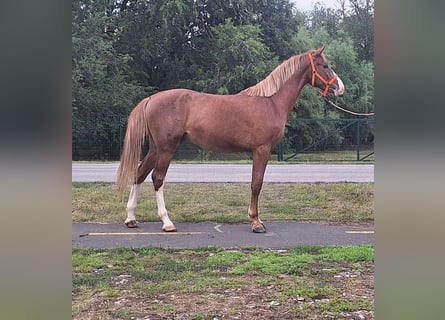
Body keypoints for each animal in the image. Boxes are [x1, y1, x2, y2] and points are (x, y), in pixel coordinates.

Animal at [117, 47, 344, 232]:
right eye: (325, 65)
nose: (340, 88)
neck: (271, 102)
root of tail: (151, 99)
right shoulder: (261, 150)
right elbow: (256, 184)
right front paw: (256, 222)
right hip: (166, 148)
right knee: (157, 178)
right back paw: (167, 222)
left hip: (156, 148)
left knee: (139, 174)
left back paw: (131, 218)